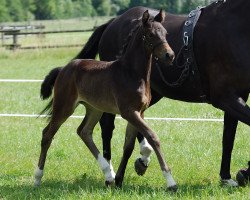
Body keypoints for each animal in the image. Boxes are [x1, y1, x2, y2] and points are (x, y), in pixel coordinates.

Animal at [34, 10, 178, 191]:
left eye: (165, 33)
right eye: (150, 34)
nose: (169, 55)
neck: (131, 72)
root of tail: (63, 69)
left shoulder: (139, 112)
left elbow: (128, 144)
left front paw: (120, 179)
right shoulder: (128, 112)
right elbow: (152, 137)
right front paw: (171, 182)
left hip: (94, 108)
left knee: (84, 131)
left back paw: (109, 175)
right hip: (64, 106)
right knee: (47, 134)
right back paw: (37, 178)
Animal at [74, 0, 250, 188]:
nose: (169, 55)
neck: (232, 26)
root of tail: (113, 22)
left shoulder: (237, 96)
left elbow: (228, 138)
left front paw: (228, 177)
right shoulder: (225, 98)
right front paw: (245, 172)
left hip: (150, 94)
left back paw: (143, 157)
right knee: (107, 125)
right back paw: (110, 173)